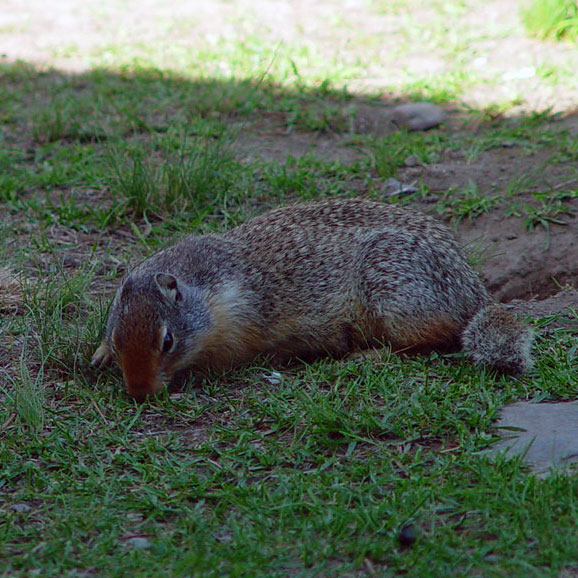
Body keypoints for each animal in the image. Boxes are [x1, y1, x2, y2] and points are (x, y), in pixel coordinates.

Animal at [93, 198, 532, 400]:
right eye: (116, 338)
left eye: (167, 341)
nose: (139, 392)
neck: (207, 291)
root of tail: (474, 289)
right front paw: (99, 356)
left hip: (397, 297)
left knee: (431, 340)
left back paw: (364, 355)